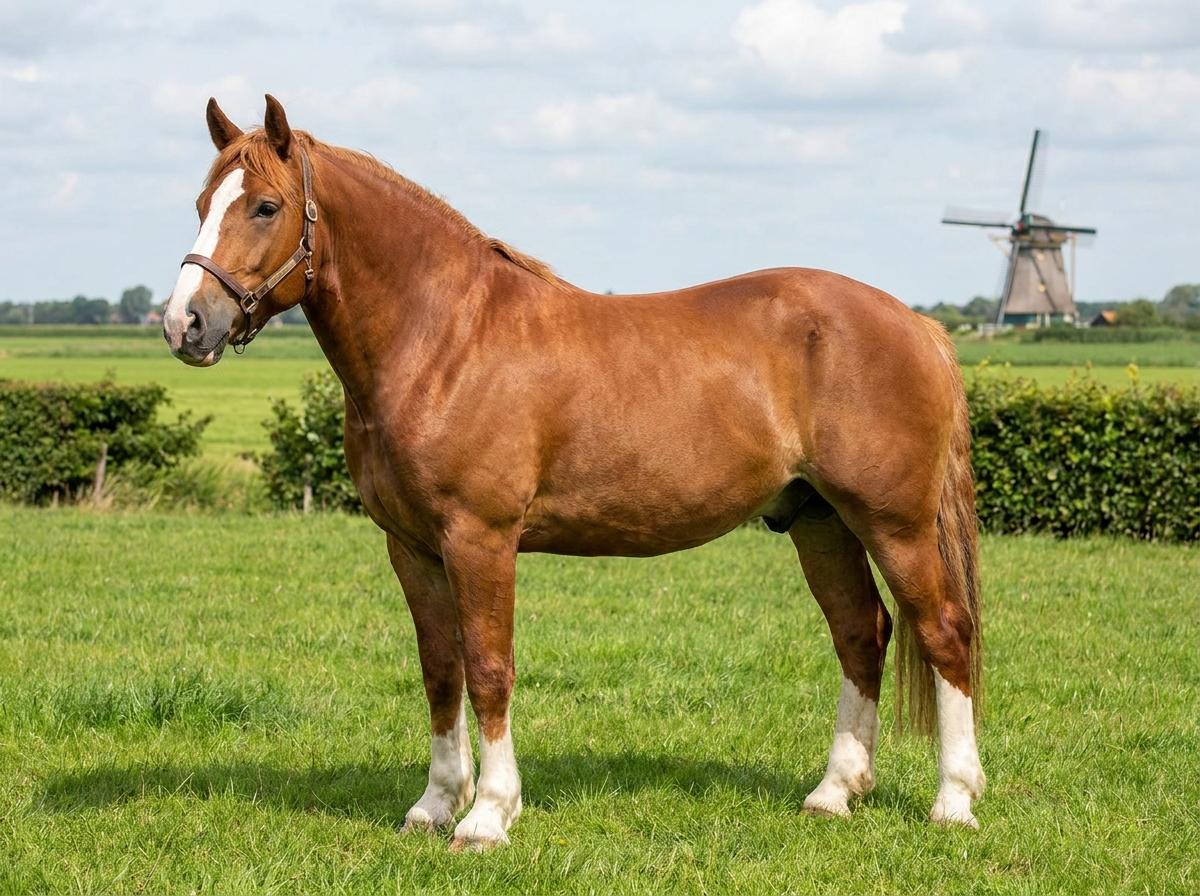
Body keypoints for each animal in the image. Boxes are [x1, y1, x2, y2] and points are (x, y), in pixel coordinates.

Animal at [163, 95, 985, 850]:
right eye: (202, 205)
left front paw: (488, 817)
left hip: (894, 522)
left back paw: (954, 801)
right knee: (861, 633)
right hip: (818, 519)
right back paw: (833, 793)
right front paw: (434, 806)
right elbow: (440, 670)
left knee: (944, 632)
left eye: (265, 206)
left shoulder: (480, 540)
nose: (184, 324)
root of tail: (918, 324)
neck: (445, 339)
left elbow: (489, 667)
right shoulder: (413, 548)